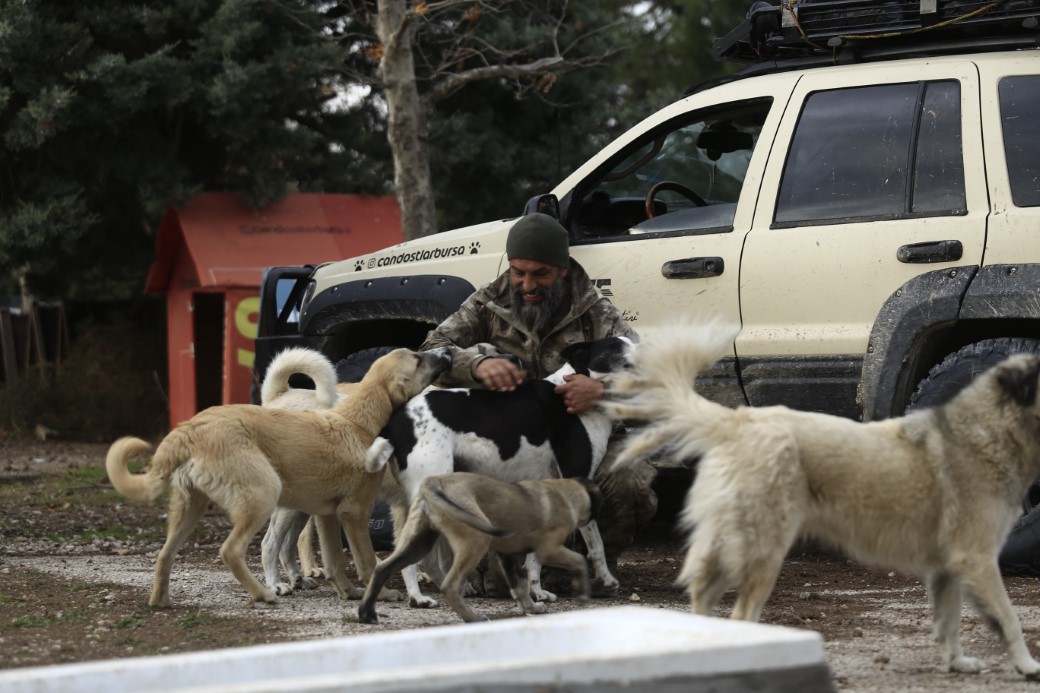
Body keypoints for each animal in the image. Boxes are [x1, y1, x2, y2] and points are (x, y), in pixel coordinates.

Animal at [103, 345, 453, 603]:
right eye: (418, 359)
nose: (447, 351)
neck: (358, 421)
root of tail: (189, 429)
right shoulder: (355, 512)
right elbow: (367, 559)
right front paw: (385, 593)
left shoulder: (329, 515)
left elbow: (334, 561)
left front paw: (348, 592)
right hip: (264, 494)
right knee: (240, 549)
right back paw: (265, 593)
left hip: (192, 507)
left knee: (165, 555)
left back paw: (160, 601)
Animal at [357, 472, 603, 624]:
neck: (567, 492)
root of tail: (433, 482)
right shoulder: (549, 549)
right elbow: (580, 560)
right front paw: (583, 591)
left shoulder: (508, 555)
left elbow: (520, 586)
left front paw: (531, 608)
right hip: (475, 540)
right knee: (450, 585)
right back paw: (472, 618)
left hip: (418, 543)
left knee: (383, 568)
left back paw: (366, 613)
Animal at [370, 332, 636, 603]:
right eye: (615, 345)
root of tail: (396, 420)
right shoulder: (578, 480)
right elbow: (596, 545)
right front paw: (607, 580)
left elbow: (536, 555)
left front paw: (536, 590)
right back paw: (417, 597)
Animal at [603, 320, 1040, 678]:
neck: (991, 429)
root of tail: (741, 420)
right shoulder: (977, 559)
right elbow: (1008, 618)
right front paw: (1027, 665)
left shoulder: (948, 568)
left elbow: (949, 621)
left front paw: (957, 663)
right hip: (763, 549)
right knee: (740, 612)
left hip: (736, 543)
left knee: (705, 598)